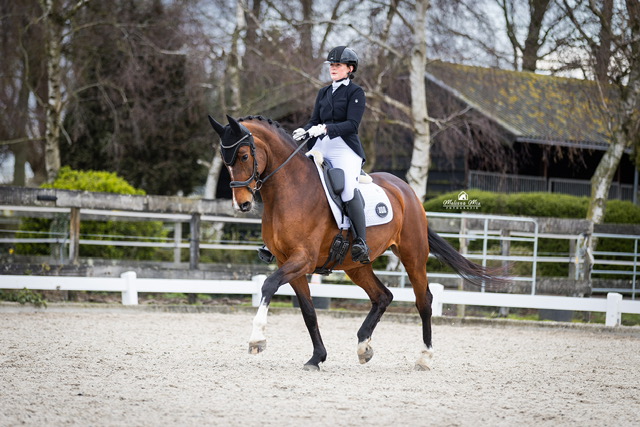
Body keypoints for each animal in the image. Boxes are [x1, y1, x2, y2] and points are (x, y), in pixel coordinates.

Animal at [208, 114, 506, 371]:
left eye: (244, 155)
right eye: (225, 159)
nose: (242, 204)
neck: (291, 190)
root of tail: (406, 190)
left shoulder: (302, 259)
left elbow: (269, 285)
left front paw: (257, 340)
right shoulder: (289, 263)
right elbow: (308, 311)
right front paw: (317, 358)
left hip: (413, 255)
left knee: (424, 301)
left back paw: (424, 357)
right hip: (356, 265)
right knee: (383, 296)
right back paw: (364, 346)